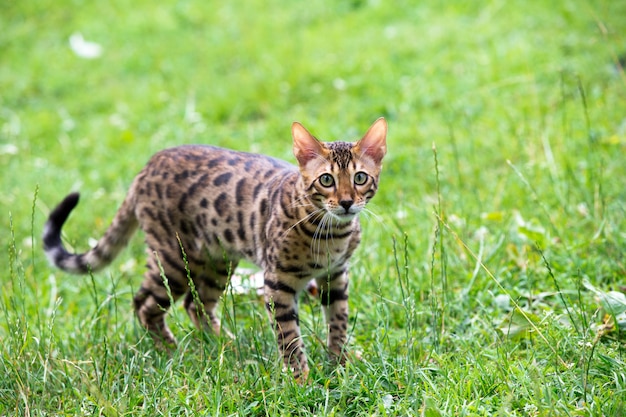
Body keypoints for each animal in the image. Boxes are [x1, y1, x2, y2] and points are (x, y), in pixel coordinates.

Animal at [42, 117, 386, 380]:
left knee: (197, 306)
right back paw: (171, 350)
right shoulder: (277, 282)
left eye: (360, 177)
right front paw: (300, 378)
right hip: (173, 259)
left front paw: (338, 365)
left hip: (218, 259)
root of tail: (147, 166)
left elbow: (338, 322)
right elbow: (289, 336)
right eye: (326, 180)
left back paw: (227, 347)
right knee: (143, 303)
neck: (331, 234)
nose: (346, 202)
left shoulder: (336, 276)